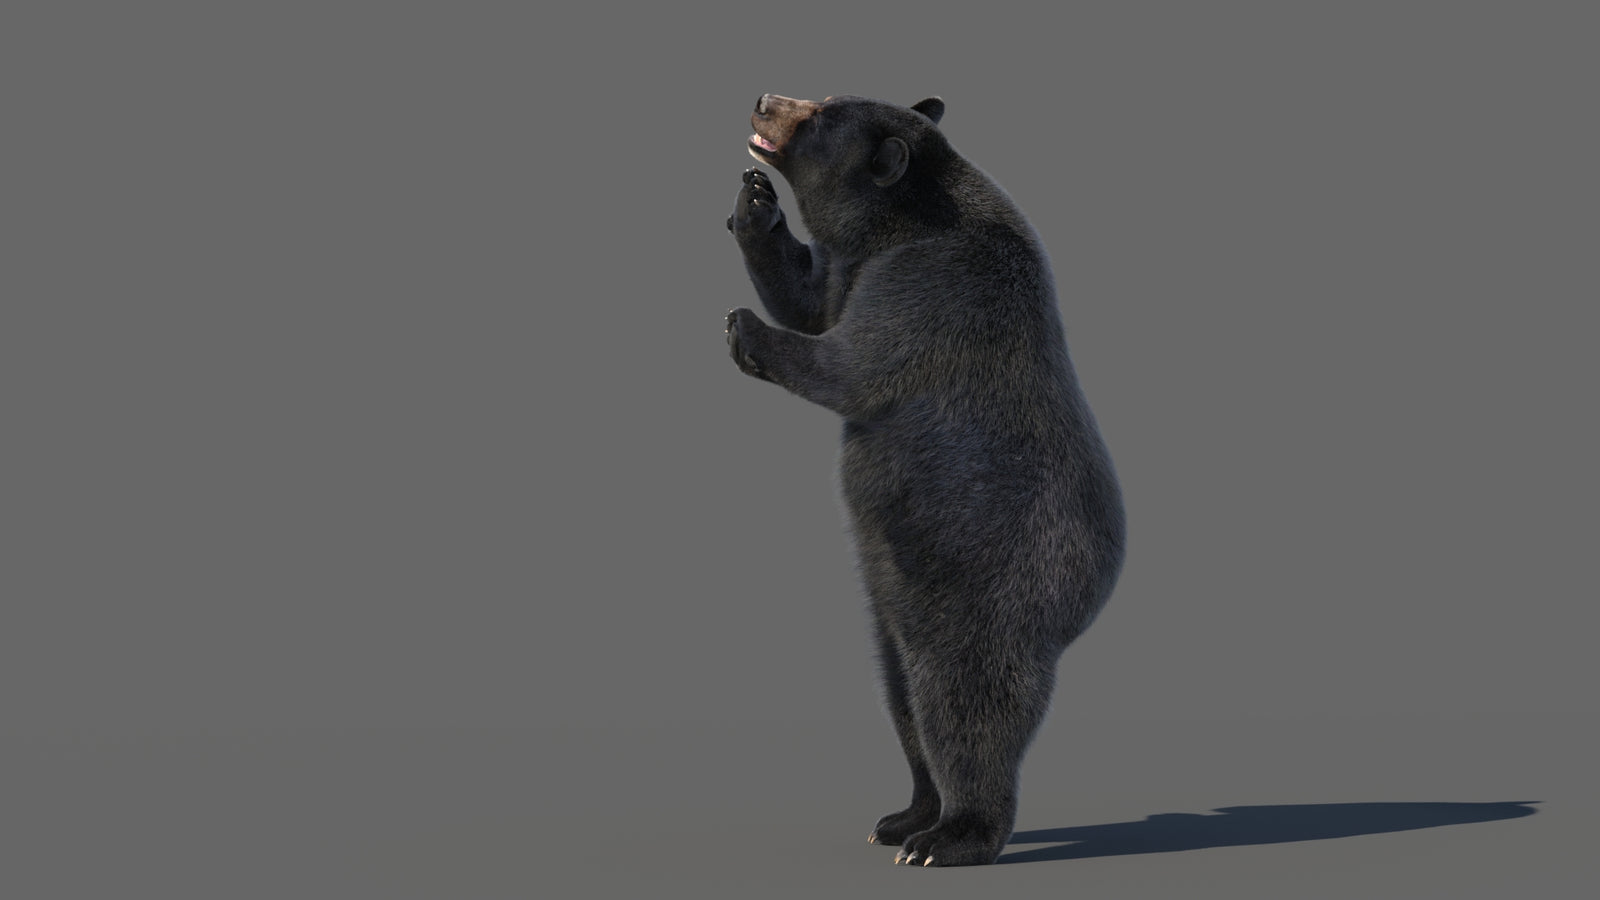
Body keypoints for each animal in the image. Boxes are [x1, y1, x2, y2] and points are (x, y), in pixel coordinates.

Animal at [724, 93, 1126, 867]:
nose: (764, 101)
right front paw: (754, 206)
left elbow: (853, 363)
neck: (901, 223)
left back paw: (952, 836)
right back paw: (904, 816)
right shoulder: (856, 265)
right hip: (893, 600)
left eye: (821, 117)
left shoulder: (934, 283)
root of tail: (1092, 597)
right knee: (900, 693)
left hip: (988, 590)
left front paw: (745, 327)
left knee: (961, 705)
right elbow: (814, 300)